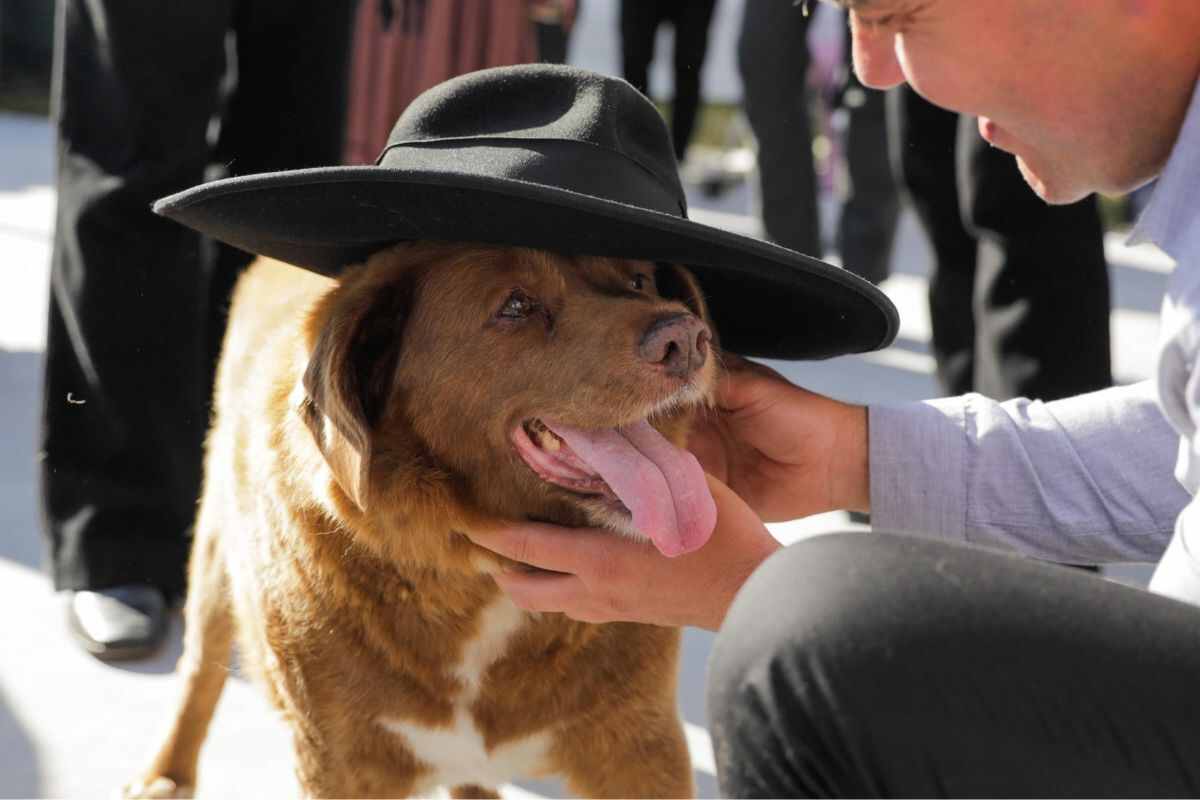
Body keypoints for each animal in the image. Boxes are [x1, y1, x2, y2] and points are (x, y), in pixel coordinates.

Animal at [123, 244, 715, 800]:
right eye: (515, 305)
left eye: (639, 280)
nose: (687, 338)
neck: (477, 577)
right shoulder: (337, 762)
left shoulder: (643, 746)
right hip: (215, 550)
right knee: (200, 664)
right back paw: (166, 773)